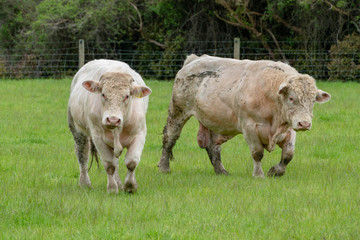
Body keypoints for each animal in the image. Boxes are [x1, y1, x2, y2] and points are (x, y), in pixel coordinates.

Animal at [68, 59, 151, 192]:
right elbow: (109, 165)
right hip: (77, 129)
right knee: (82, 154)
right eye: (103, 94)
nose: (112, 120)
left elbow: (131, 162)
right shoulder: (97, 138)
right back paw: (85, 183)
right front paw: (112, 188)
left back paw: (120, 184)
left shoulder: (140, 133)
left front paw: (130, 186)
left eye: (127, 96)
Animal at [159, 55, 330, 177]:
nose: (304, 124)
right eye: (292, 98)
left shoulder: (289, 128)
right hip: (178, 110)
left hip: (214, 120)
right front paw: (258, 174)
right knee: (170, 137)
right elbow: (257, 153)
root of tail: (194, 59)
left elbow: (288, 154)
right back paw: (164, 167)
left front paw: (276, 171)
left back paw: (221, 171)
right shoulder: (250, 127)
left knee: (213, 146)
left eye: (313, 100)